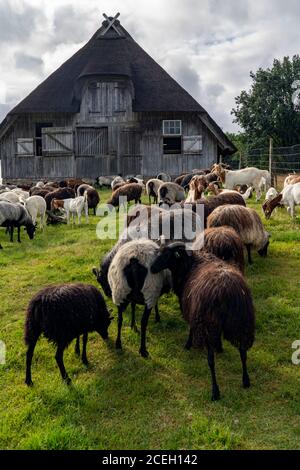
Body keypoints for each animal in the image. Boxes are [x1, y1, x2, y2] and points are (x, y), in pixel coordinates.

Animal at [151, 244, 254, 402]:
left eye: (167, 255)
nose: (152, 268)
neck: (188, 264)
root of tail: (226, 290)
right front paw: (220, 347)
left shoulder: (193, 310)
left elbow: (191, 328)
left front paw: (188, 344)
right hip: (240, 323)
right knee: (243, 352)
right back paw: (246, 380)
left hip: (208, 325)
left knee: (211, 360)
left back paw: (215, 391)